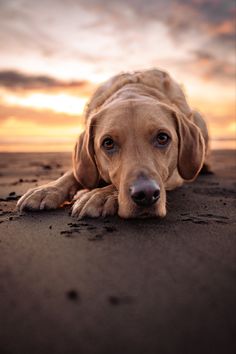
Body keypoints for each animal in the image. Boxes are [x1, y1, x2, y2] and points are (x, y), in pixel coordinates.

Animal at [17, 69, 208, 218]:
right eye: (108, 143)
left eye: (162, 138)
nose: (147, 194)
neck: (134, 89)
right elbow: (72, 174)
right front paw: (47, 190)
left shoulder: (174, 174)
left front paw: (100, 195)